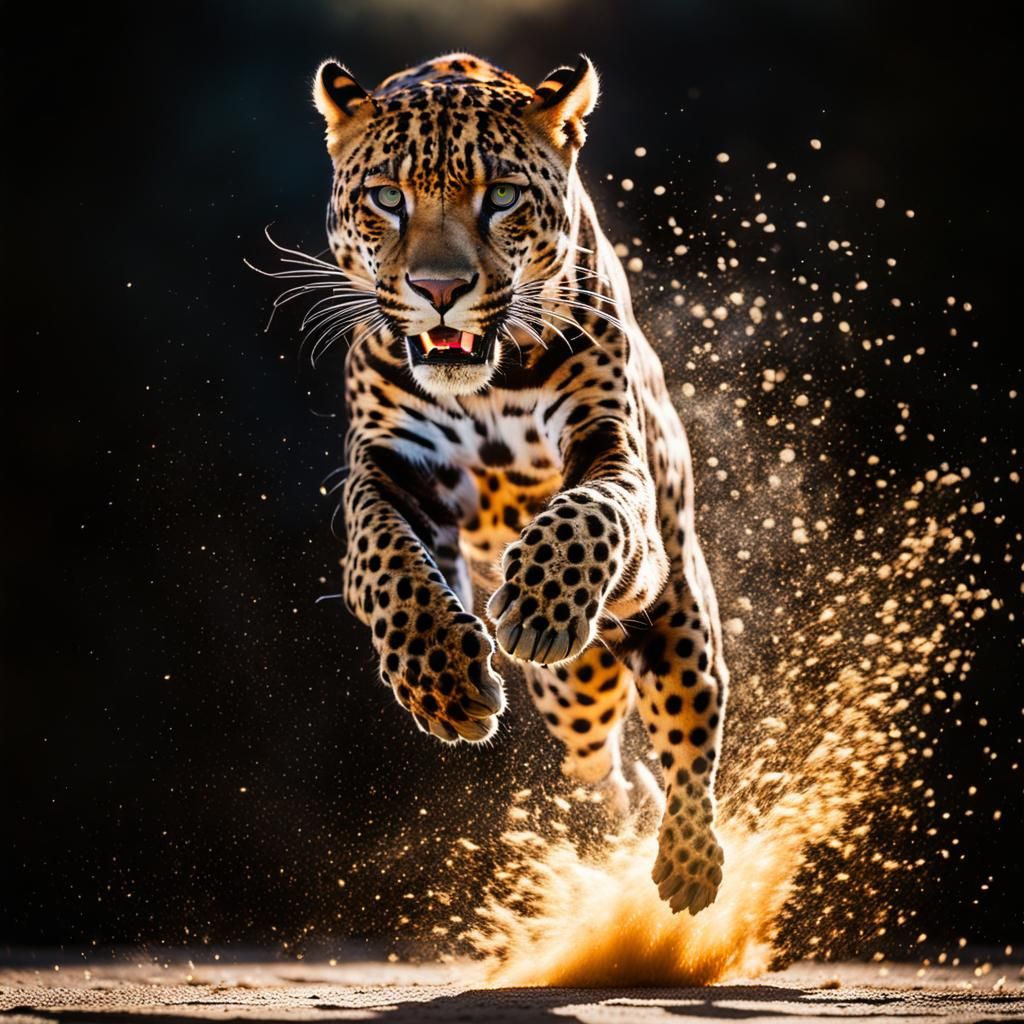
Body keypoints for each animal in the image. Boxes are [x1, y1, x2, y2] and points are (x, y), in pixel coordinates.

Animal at [304, 51, 730, 915]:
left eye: (499, 196)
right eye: (387, 197)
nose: (439, 289)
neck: (488, 386)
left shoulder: (613, 448)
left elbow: (591, 514)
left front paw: (538, 601)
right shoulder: (387, 470)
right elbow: (389, 565)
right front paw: (439, 677)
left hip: (681, 623)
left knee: (687, 740)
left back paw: (688, 862)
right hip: (574, 690)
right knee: (602, 767)